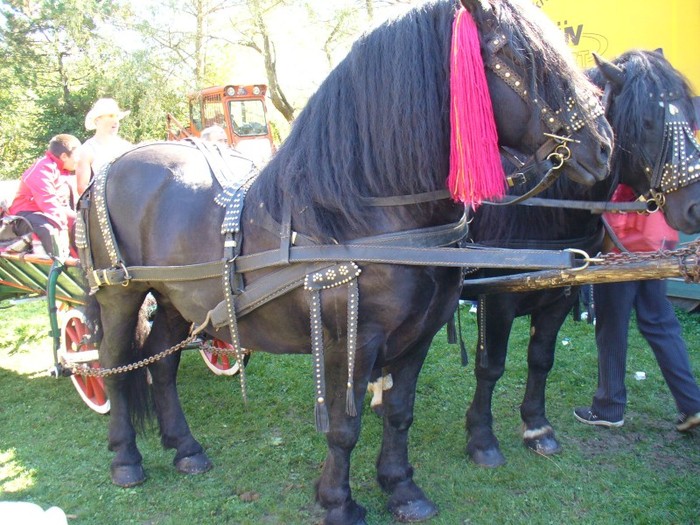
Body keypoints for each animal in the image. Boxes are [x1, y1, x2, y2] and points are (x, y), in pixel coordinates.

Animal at [79, 2, 608, 520]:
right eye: (518, 55)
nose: (603, 145)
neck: (367, 217)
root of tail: (109, 167)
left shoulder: (419, 334)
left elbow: (399, 412)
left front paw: (402, 489)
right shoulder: (352, 340)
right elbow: (343, 426)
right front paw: (337, 501)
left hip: (177, 302)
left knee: (162, 365)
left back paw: (186, 448)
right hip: (121, 295)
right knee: (114, 364)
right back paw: (126, 459)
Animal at [464, 50, 700, 466]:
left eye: (691, 116)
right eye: (648, 122)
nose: (696, 207)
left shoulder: (562, 294)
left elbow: (541, 358)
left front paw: (537, 427)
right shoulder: (497, 298)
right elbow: (490, 367)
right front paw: (481, 438)